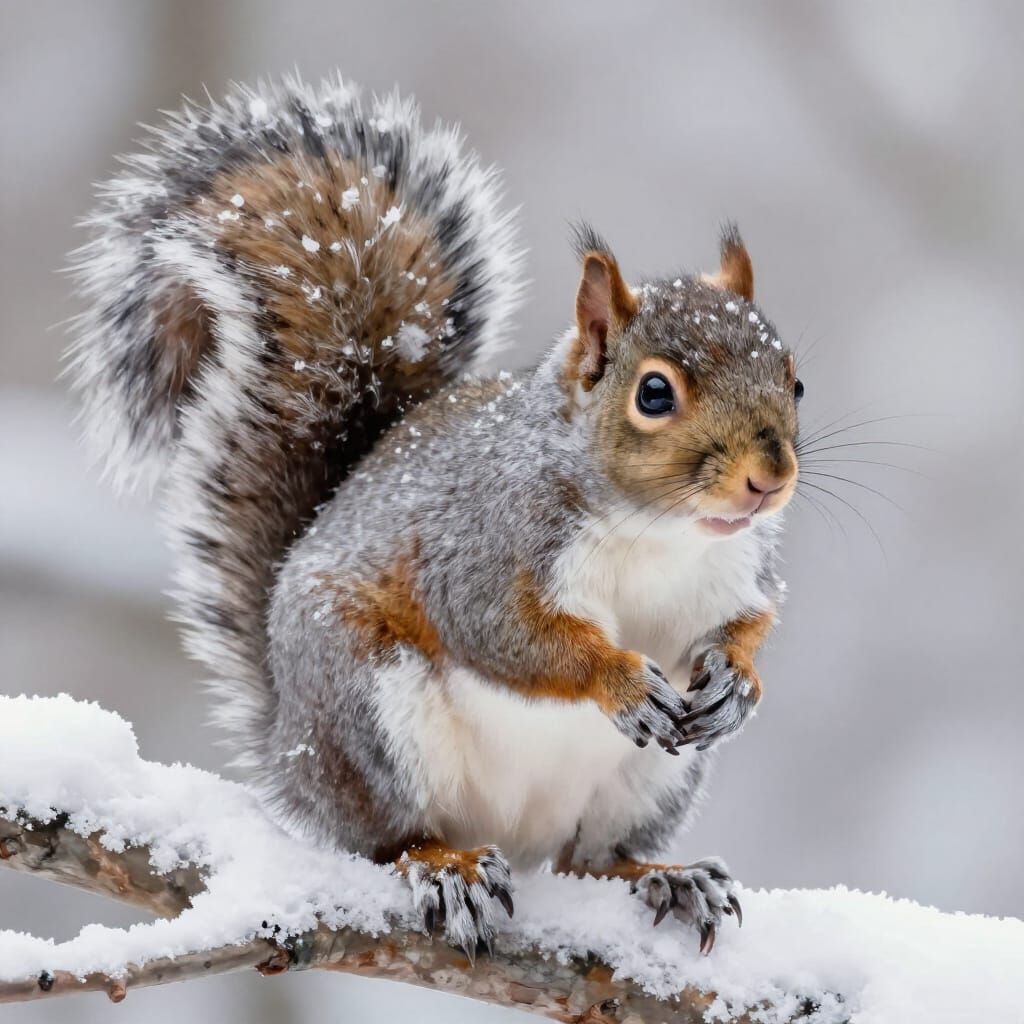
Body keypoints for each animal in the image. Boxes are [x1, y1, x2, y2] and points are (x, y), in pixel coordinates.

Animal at [68, 75, 802, 957]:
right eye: (654, 393)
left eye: (795, 380)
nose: (769, 480)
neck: (662, 532)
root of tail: (289, 752)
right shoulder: (488, 545)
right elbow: (505, 632)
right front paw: (620, 679)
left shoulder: (742, 571)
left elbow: (753, 620)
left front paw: (737, 679)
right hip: (369, 706)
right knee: (387, 839)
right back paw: (445, 864)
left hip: (653, 779)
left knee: (592, 861)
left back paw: (663, 876)